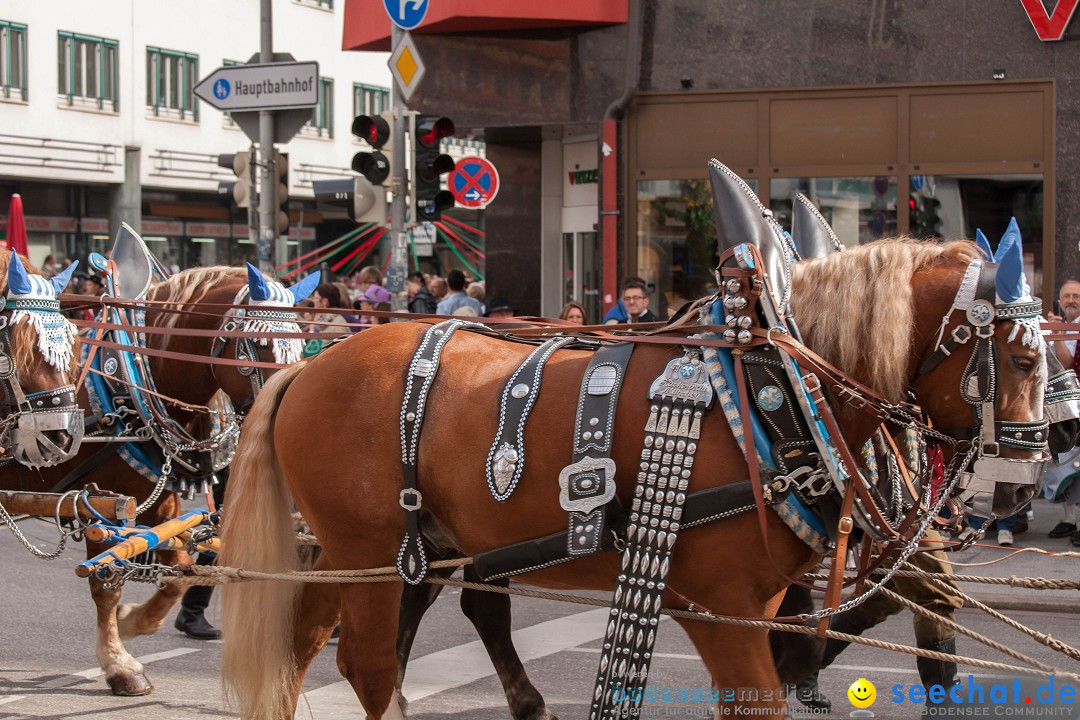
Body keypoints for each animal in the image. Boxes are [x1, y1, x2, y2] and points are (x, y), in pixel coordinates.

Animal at [0, 267, 291, 695]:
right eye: (259, 343)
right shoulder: (99, 505)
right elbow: (105, 584)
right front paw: (119, 663)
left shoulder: (157, 506)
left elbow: (179, 570)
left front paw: (132, 622)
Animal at [221, 239, 1045, 716]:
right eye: (1027, 358)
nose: (1028, 476)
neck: (771, 392)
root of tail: (310, 367)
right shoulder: (718, 607)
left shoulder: (759, 606)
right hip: (369, 548)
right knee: (365, 663)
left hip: (391, 550)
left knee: (307, 641)